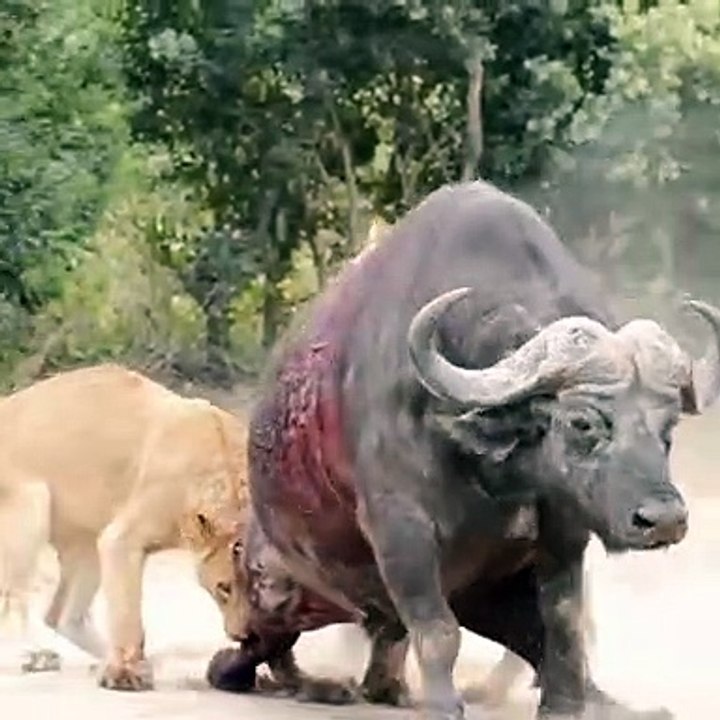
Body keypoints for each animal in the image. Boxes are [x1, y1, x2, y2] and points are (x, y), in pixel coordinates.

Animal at [209, 181, 720, 719]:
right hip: (271, 594)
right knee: (254, 651)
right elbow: (437, 630)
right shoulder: (400, 527)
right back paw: (310, 683)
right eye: (581, 422)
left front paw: (565, 704)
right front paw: (444, 704)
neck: (496, 470)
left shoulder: (565, 532)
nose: (663, 519)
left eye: (668, 427)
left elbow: (563, 621)